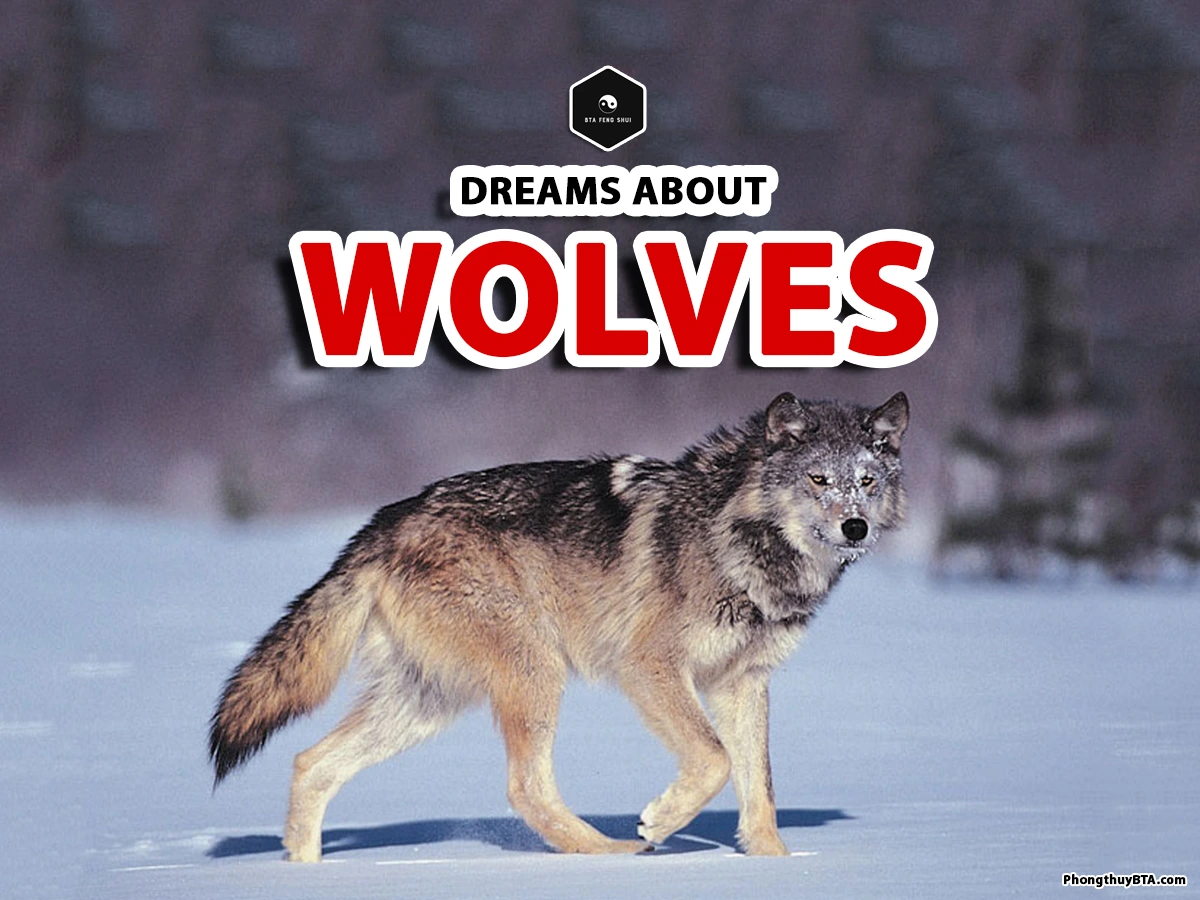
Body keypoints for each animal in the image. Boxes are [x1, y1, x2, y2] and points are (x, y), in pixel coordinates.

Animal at [209, 391, 909, 860]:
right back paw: (613, 854)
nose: (855, 527)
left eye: (866, 482)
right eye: (818, 479)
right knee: (525, 788)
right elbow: (713, 760)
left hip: (427, 702)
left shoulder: (743, 680)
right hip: (534, 669)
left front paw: (775, 867)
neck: (741, 541)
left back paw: (304, 872)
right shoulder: (649, 666)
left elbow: (757, 784)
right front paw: (659, 823)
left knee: (310, 762)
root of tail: (385, 521)